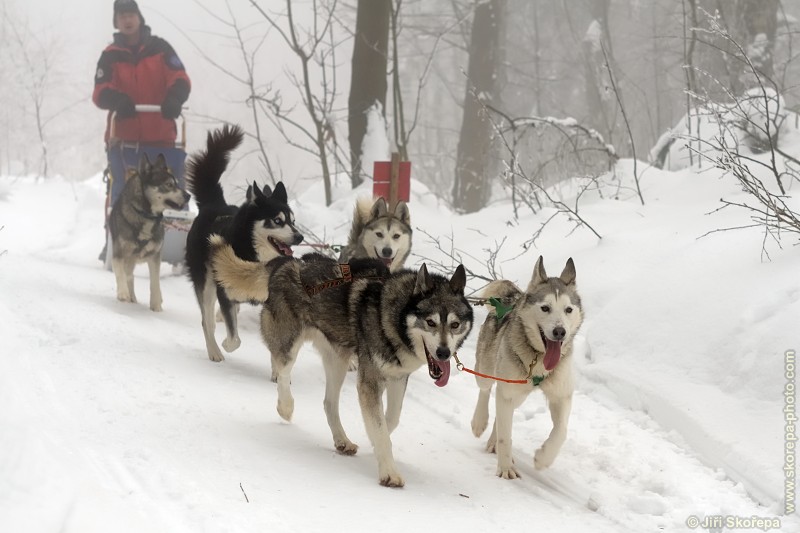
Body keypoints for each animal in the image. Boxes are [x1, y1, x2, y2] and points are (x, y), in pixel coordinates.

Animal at [468, 256, 580, 476]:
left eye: (568, 309)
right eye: (545, 308)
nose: (560, 332)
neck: (538, 360)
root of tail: (513, 298)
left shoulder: (561, 395)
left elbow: (561, 431)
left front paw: (543, 458)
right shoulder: (507, 389)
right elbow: (505, 436)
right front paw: (505, 469)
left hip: (518, 394)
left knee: (502, 413)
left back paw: (493, 441)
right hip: (487, 369)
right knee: (485, 390)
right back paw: (479, 421)